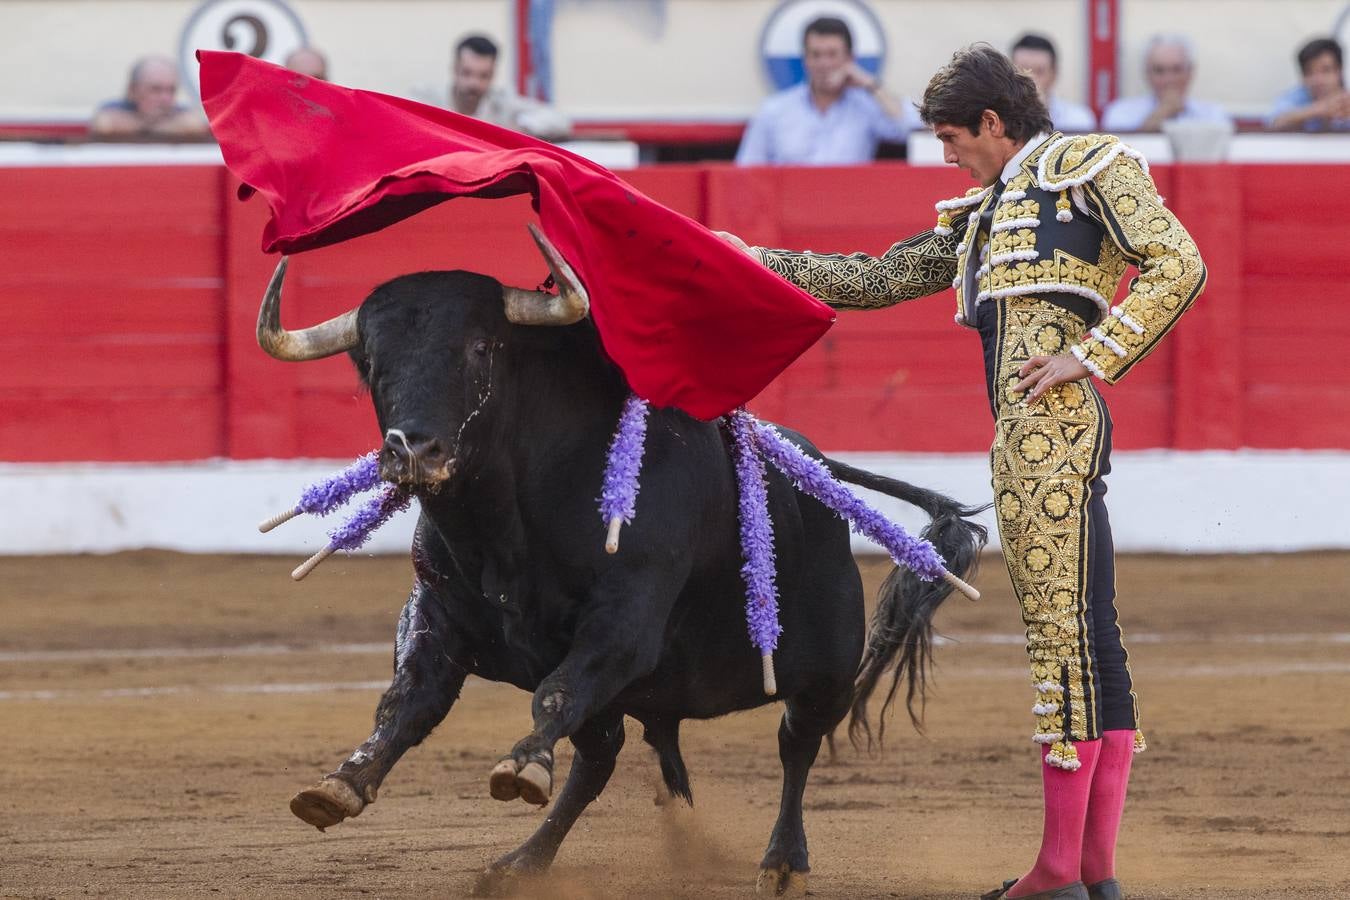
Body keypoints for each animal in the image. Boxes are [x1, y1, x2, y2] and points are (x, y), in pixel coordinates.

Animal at [263, 230, 988, 895]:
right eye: (369, 361)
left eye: (481, 347)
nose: (412, 448)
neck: (503, 532)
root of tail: (812, 462)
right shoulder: (438, 611)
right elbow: (408, 700)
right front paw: (342, 782)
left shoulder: (625, 621)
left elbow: (555, 692)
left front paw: (521, 764)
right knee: (603, 758)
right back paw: (524, 861)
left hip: (827, 671)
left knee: (796, 745)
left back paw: (782, 862)